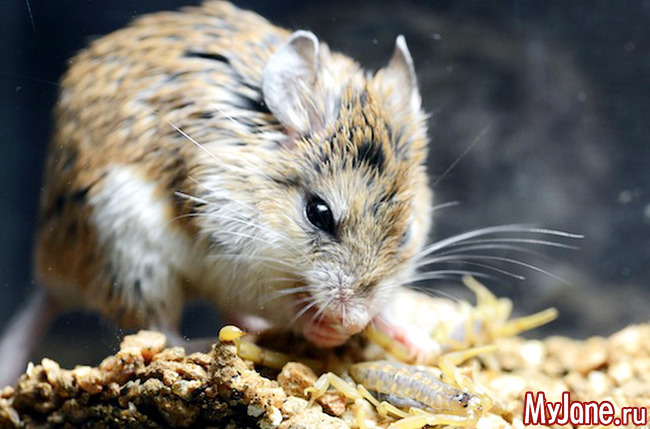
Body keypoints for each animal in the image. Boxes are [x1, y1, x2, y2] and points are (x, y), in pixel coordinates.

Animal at [0, 0, 435, 385]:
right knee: (162, 330)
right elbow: (281, 301)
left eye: (407, 235)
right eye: (318, 213)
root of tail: (53, 275)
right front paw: (324, 329)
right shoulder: (230, 250)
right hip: (129, 260)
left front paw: (416, 343)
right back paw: (209, 343)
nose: (353, 321)